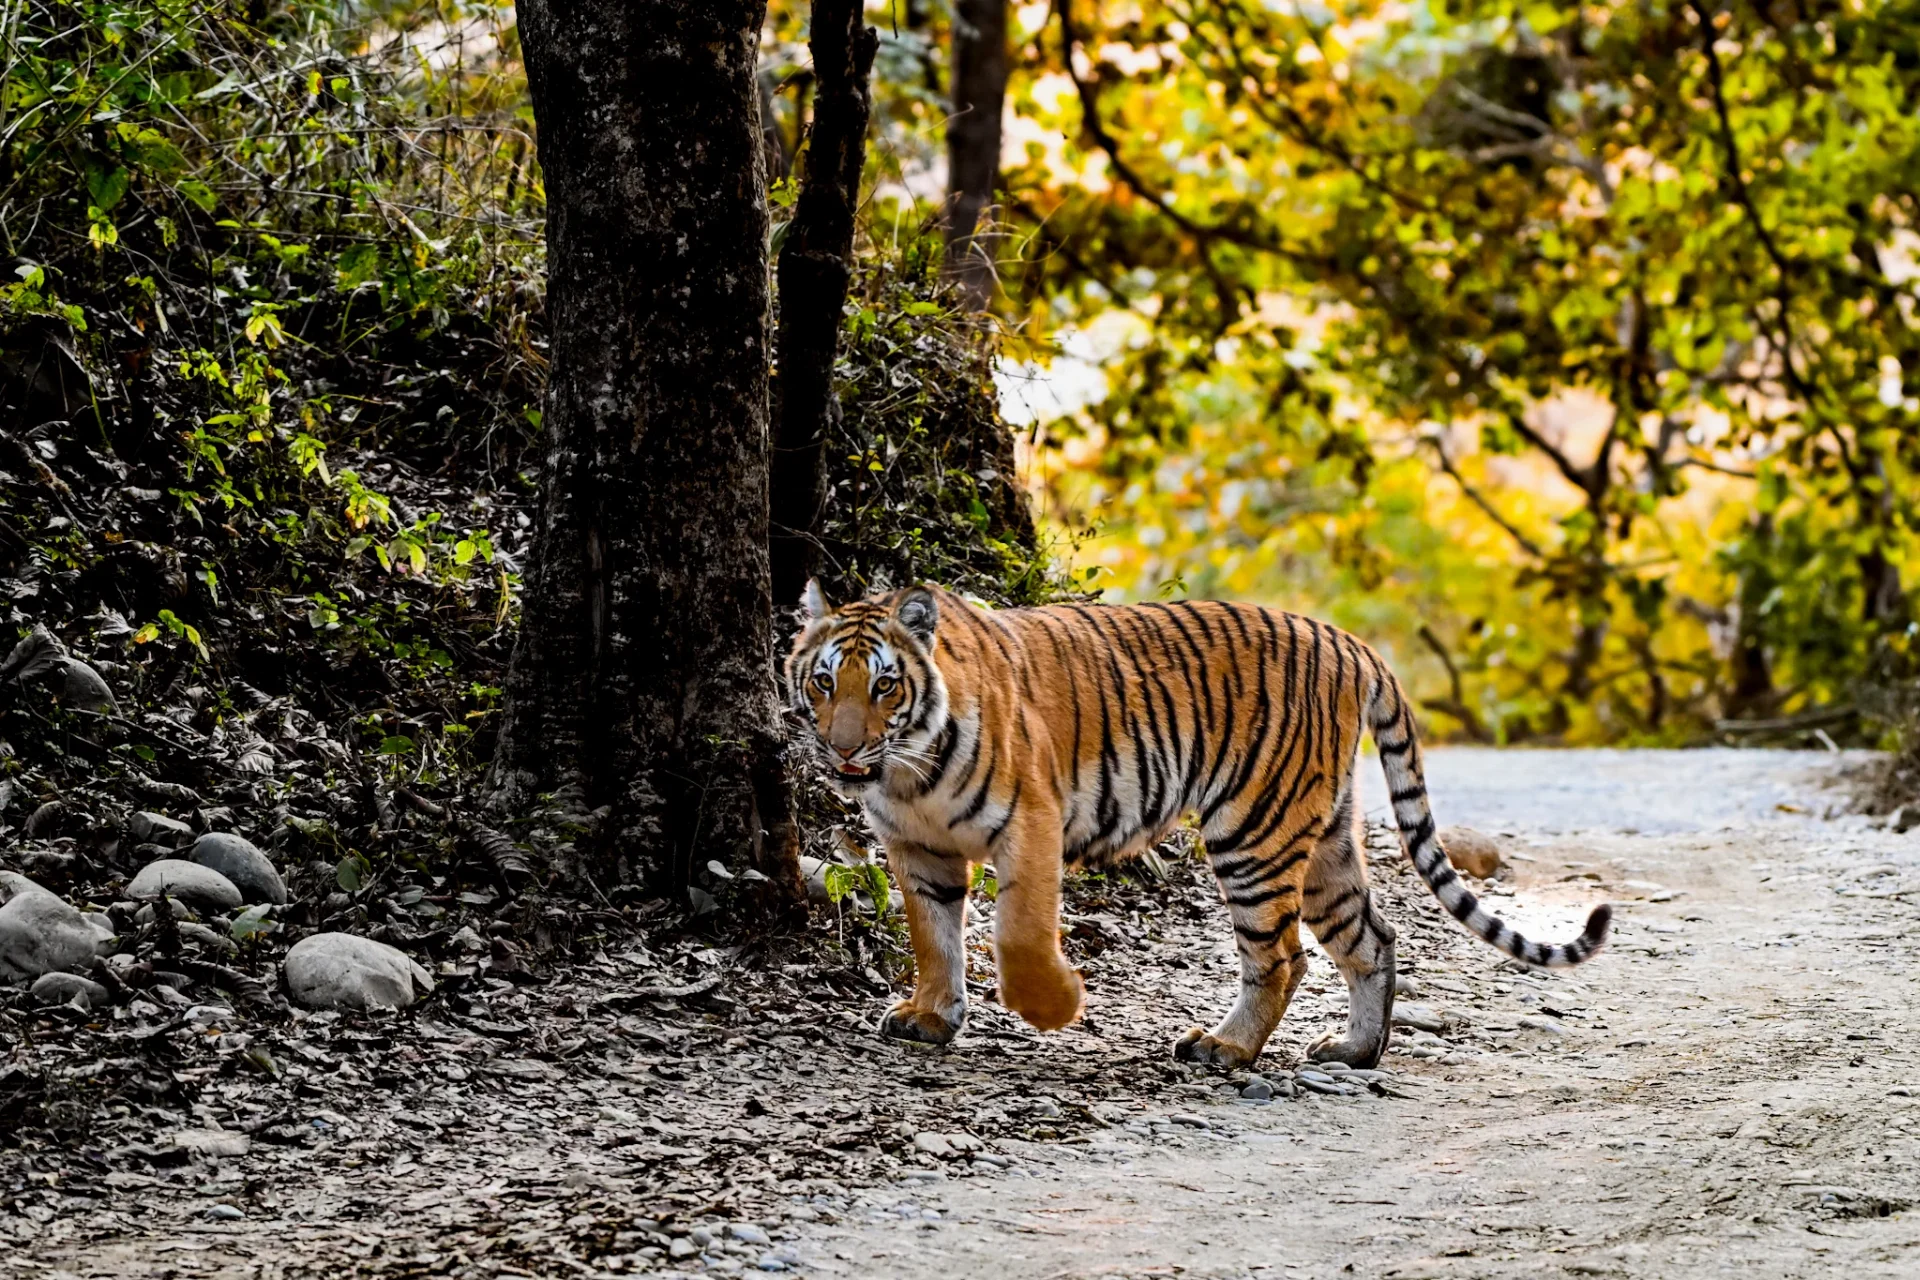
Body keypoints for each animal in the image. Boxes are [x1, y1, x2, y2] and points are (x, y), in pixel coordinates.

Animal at [786, 581, 1610, 1069]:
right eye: (824, 682)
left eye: (885, 687)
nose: (844, 749)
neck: (907, 771)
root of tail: (1348, 641)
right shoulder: (916, 846)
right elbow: (934, 937)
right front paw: (931, 1017)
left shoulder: (1033, 822)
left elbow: (1017, 932)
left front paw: (1055, 1007)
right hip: (1324, 840)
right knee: (1372, 937)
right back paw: (1353, 1050)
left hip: (1255, 830)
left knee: (1281, 956)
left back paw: (1225, 1046)